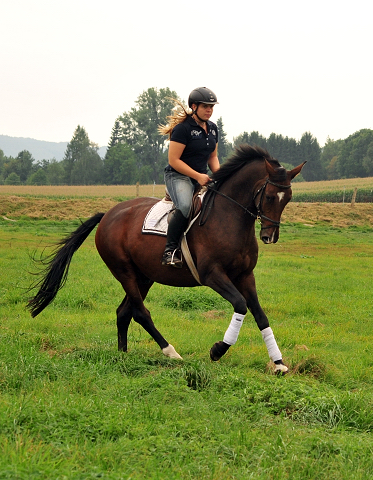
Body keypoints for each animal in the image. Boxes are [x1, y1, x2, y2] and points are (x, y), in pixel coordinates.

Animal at [26, 144, 306, 374]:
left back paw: (123, 355)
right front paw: (218, 350)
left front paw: (278, 362)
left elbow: (260, 314)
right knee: (140, 312)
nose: (270, 236)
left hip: (144, 276)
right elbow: (240, 305)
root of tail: (108, 214)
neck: (229, 218)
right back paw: (171, 352)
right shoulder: (213, 275)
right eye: (269, 196)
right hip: (124, 271)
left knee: (124, 312)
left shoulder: (245, 275)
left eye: (289, 199)